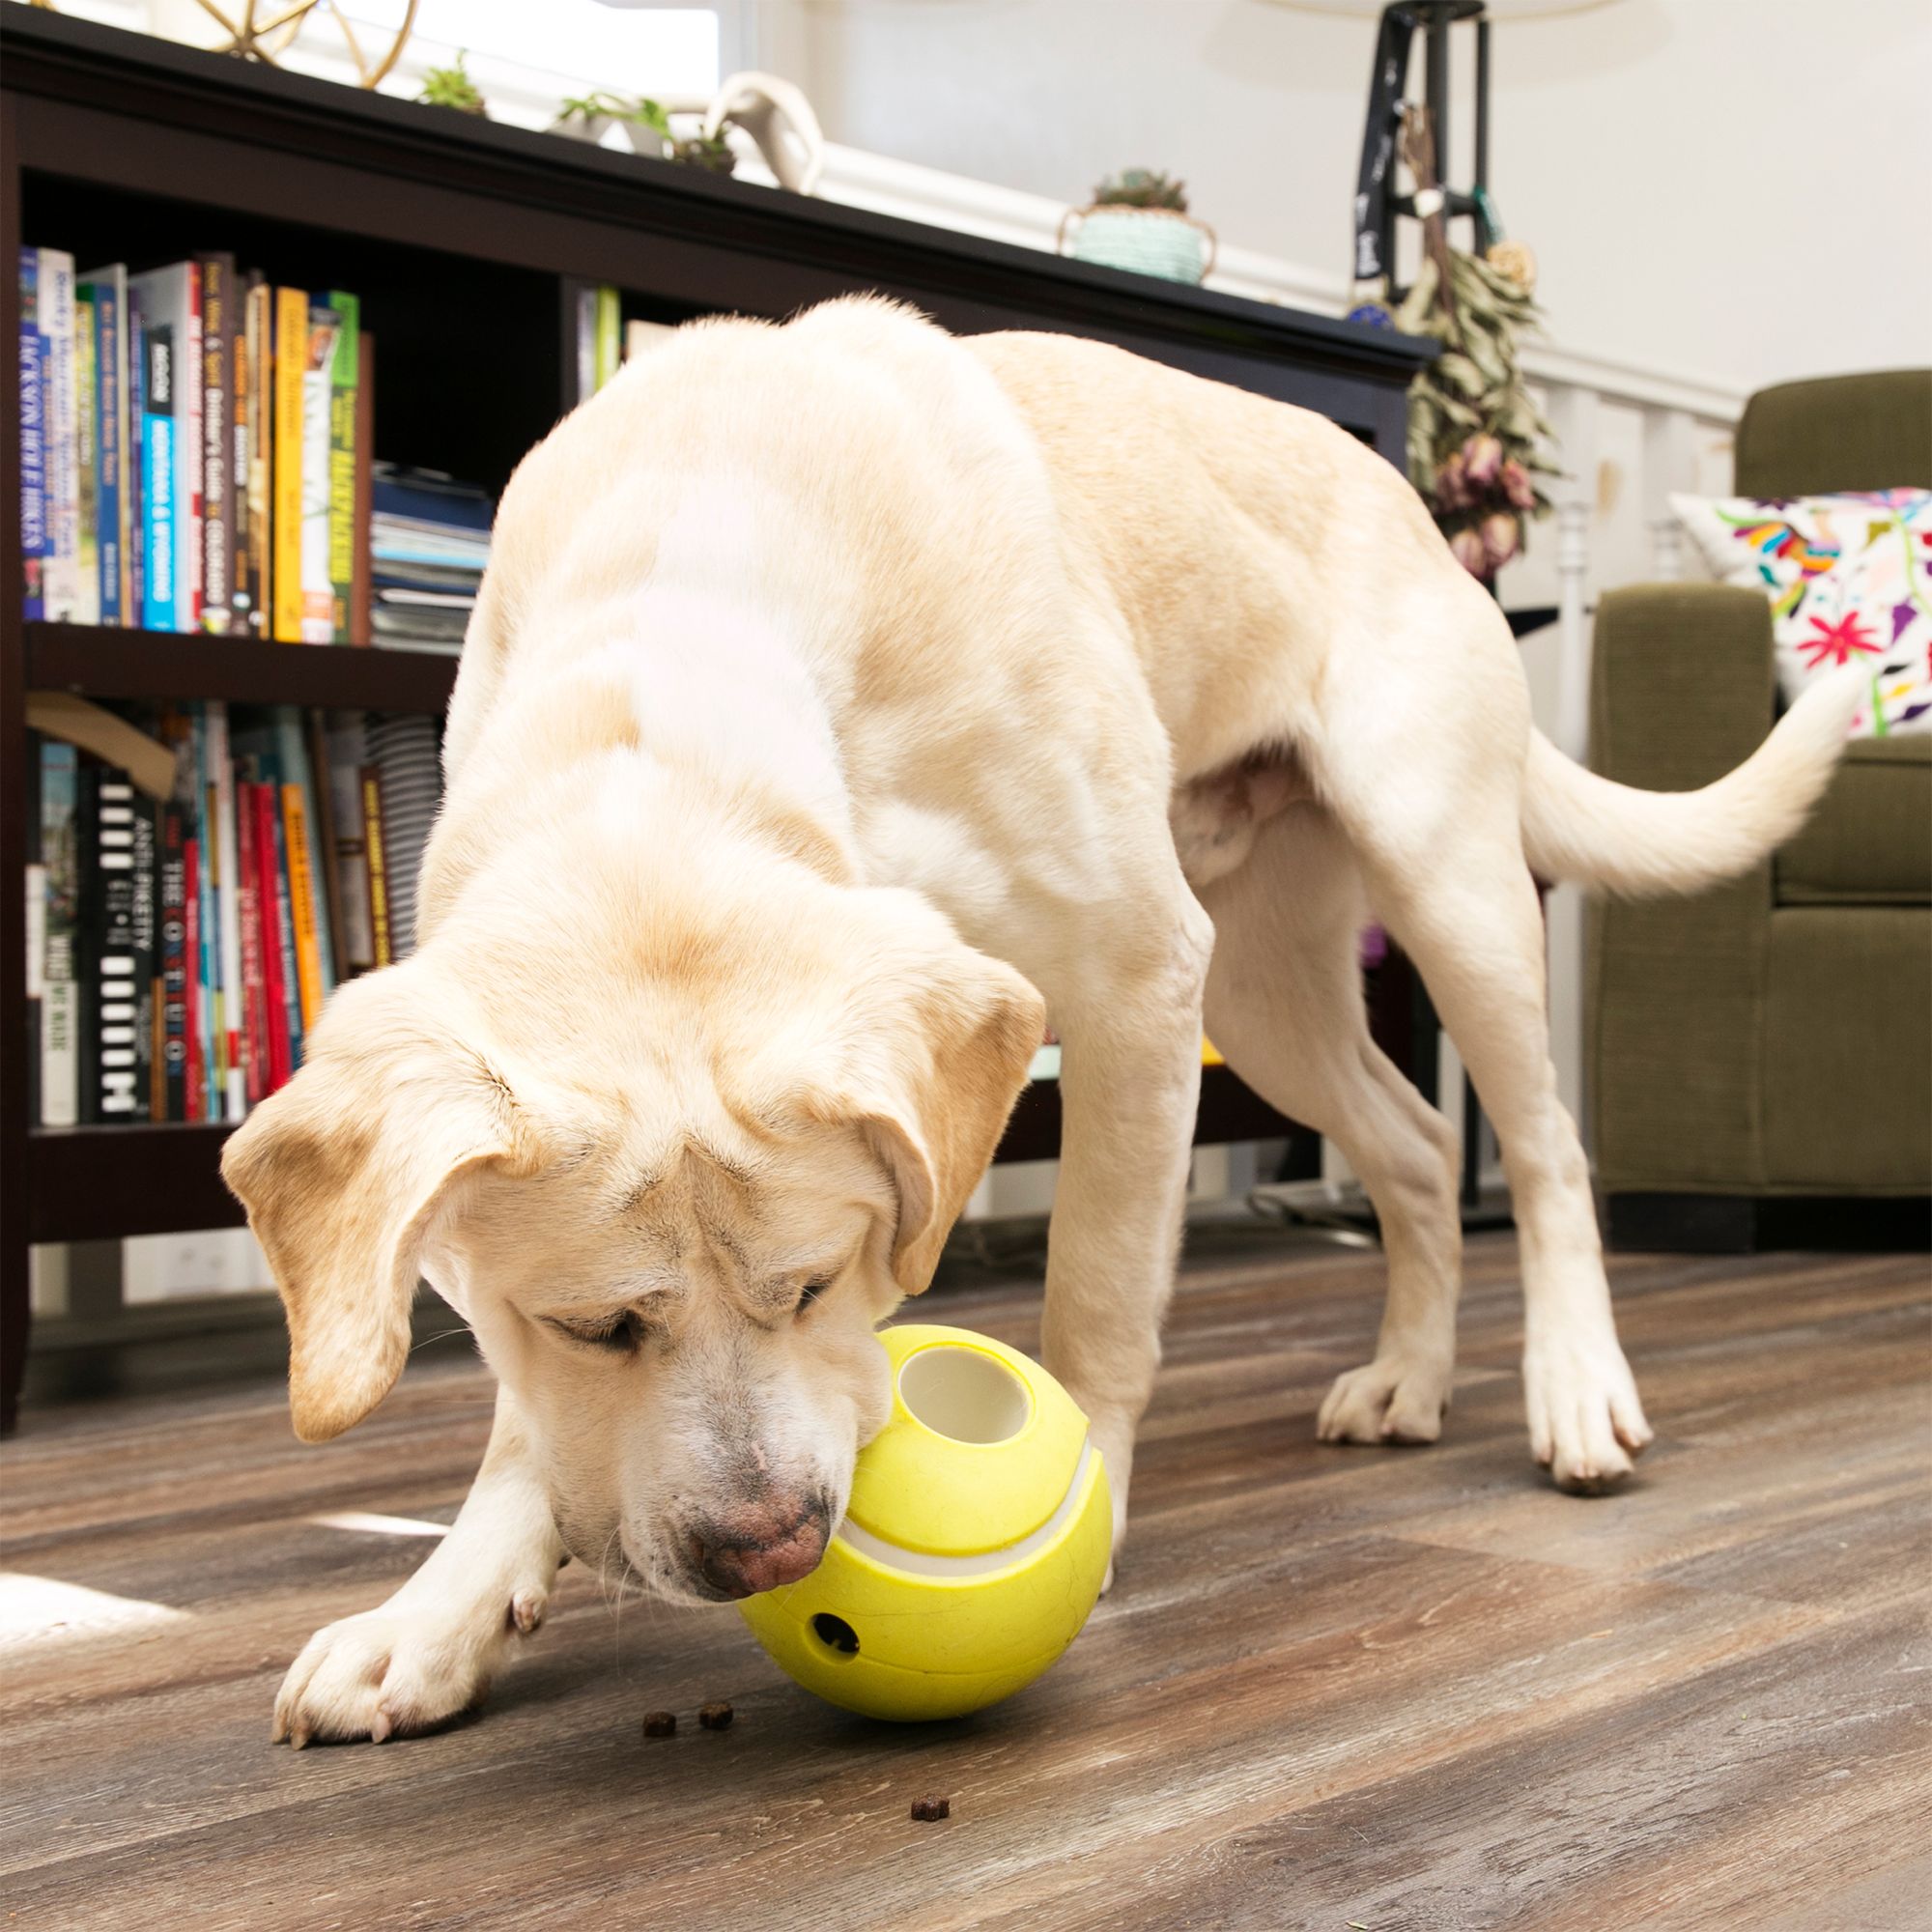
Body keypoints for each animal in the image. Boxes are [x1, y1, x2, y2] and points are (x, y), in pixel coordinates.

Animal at [222, 294, 1855, 1747]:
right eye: (592, 1324)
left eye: (823, 1283)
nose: (769, 1548)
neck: (676, 641)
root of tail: (1410, 501)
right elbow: (524, 1424)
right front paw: (440, 1611)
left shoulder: (1136, 982)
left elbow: (1100, 1293)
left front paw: (1091, 1499)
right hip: (1266, 989)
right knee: (1408, 1146)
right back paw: (1409, 1375)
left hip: (1442, 892)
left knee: (1543, 1148)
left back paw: (1577, 1388)